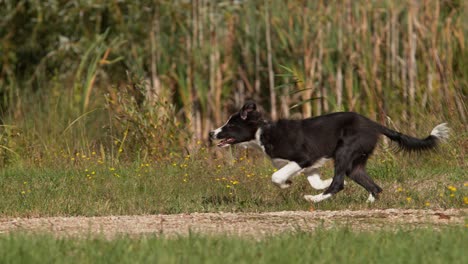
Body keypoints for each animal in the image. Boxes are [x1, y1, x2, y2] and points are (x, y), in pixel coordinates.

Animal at [209, 102, 450, 203]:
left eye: (230, 124)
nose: (211, 133)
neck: (262, 133)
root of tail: (373, 124)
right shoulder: (311, 165)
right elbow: (314, 180)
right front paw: (295, 183)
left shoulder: (303, 158)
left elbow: (276, 176)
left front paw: (287, 184)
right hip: (355, 164)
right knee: (373, 186)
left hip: (345, 151)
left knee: (339, 183)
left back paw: (314, 200)